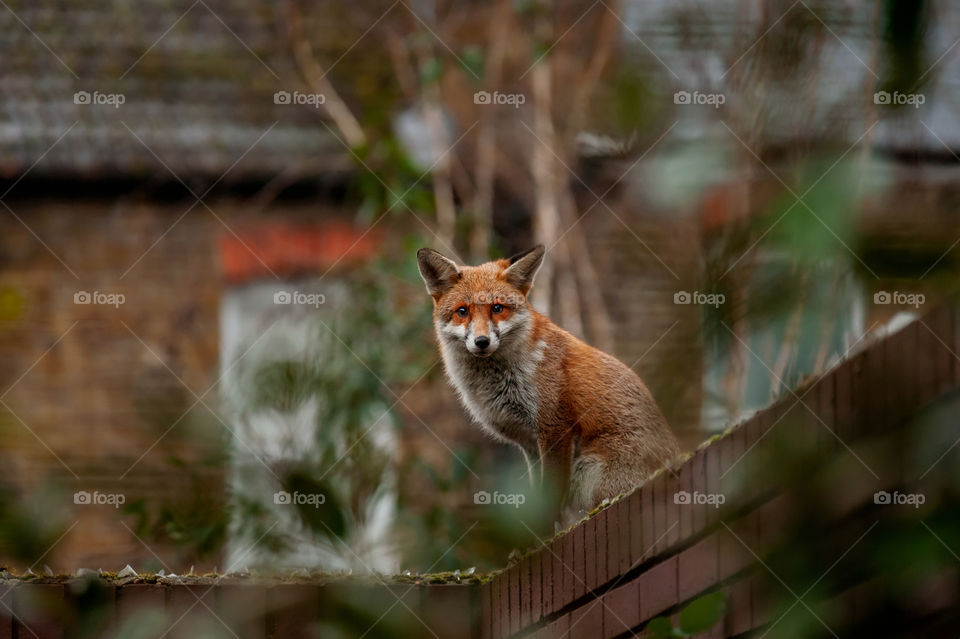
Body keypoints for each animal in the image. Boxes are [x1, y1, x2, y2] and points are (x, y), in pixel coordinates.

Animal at [416, 244, 680, 516]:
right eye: (462, 311)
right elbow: (537, 493)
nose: (481, 341)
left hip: (588, 473)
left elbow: (550, 496)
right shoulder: (529, 442)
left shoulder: (555, 427)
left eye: (497, 308)